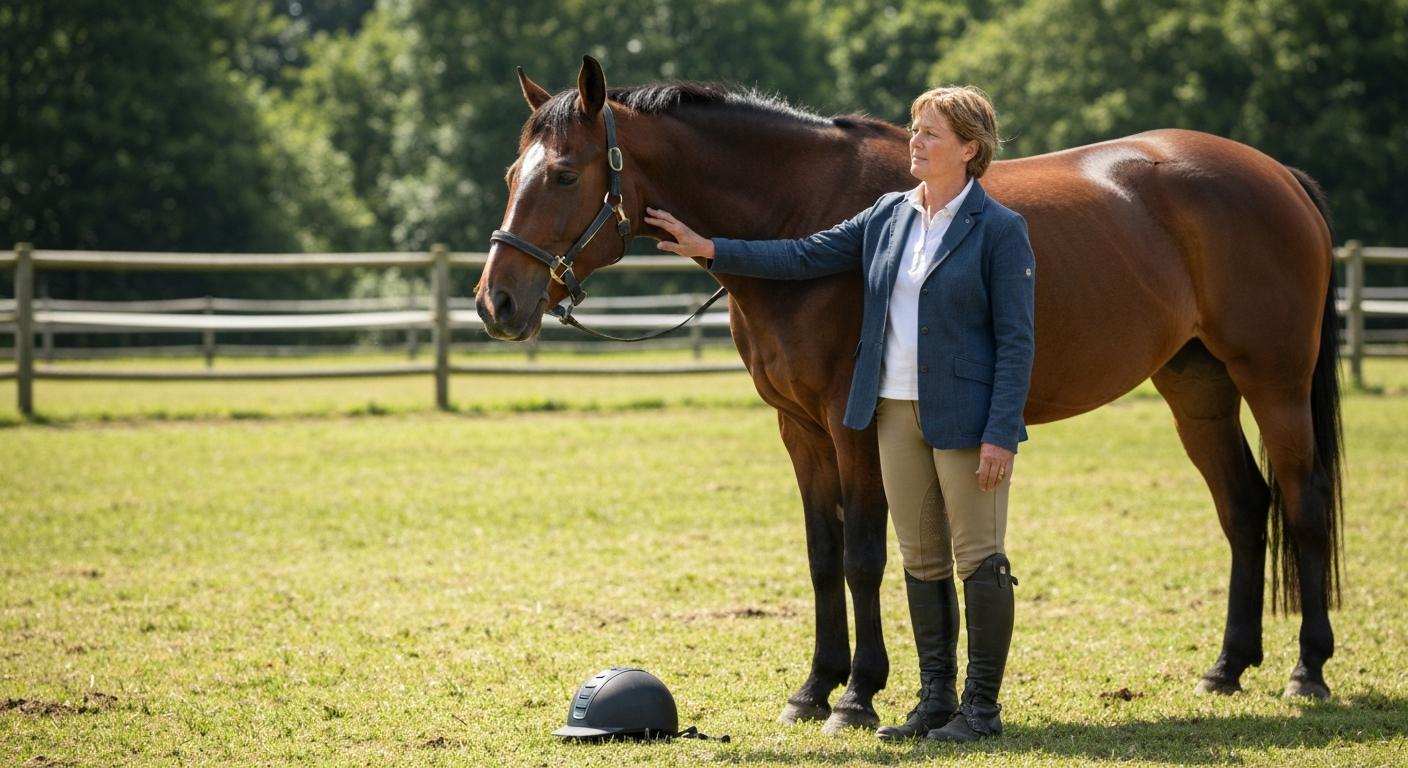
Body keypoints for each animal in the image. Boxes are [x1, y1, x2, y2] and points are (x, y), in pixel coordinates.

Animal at [476, 56, 1343, 732]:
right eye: (512, 175)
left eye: (563, 174)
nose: (497, 303)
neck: (802, 210)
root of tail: (1279, 175)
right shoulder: (800, 430)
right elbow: (822, 554)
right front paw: (812, 687)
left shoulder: (853, 424)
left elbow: (864, 553)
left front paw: (857, 695)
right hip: (1196, 386)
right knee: (1244, 506)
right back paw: (1228, 668)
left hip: (1273, 382)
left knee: (1300, 505)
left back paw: (1307, 672)